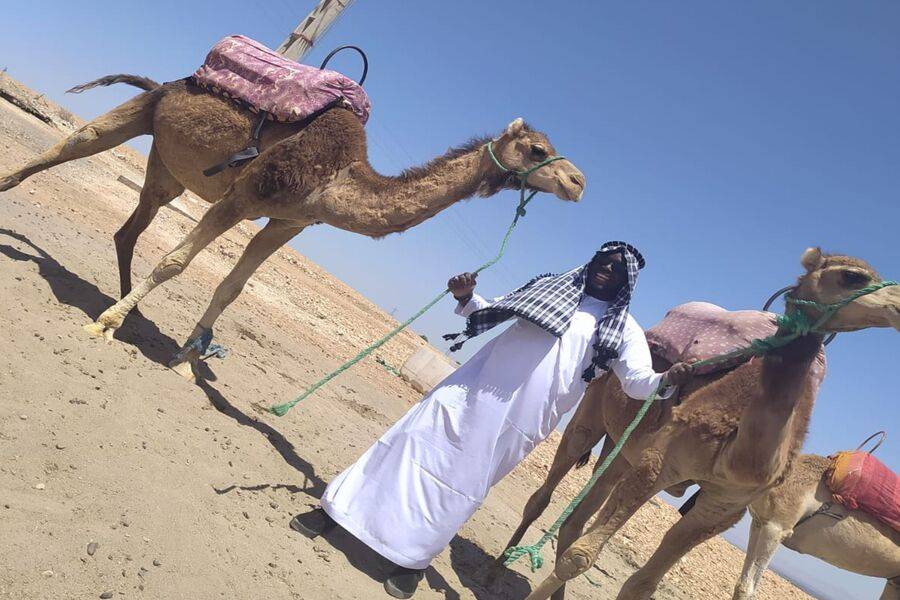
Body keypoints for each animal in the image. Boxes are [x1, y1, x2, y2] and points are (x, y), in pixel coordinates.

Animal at [0, 76, 585, 378]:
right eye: (538, 149)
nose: (578, 182)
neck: (340, 177)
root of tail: (169, 83)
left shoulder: (288, 222)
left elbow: (232, 286)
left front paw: (189, 355)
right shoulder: (246, 194)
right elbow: (176, 261)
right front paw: (104, 327)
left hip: (167, 167)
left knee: (132, 225)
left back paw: (130, 306)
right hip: (143, 112)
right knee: (69, 147)